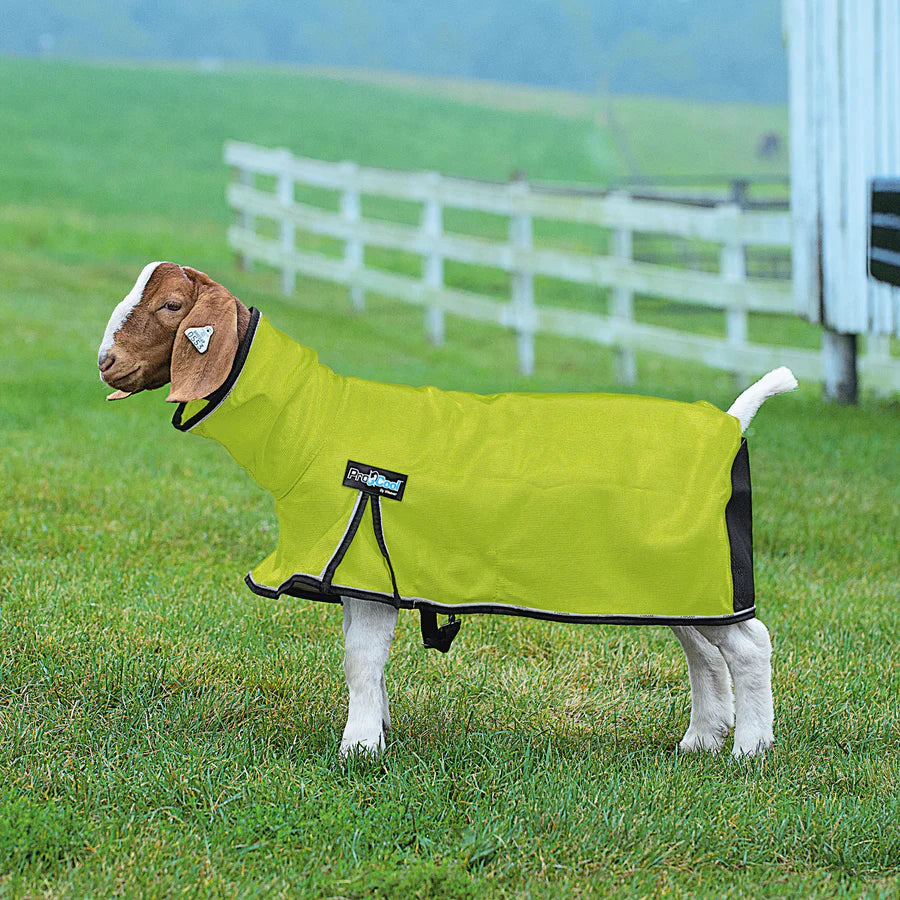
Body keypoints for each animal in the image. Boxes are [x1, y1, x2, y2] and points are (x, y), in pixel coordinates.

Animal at [99, 262, 797, 758]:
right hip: (679, 579)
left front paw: (357, 749)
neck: (313, 422)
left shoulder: (364, 560)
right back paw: (702, 740)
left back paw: (750, 749)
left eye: (170, 306)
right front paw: (376, 732)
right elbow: (363, 659)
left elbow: (362, 659)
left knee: (749, 644)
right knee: (704, 650)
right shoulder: (358, 575)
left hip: (698, 571)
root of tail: (731, 421)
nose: (106, 362)